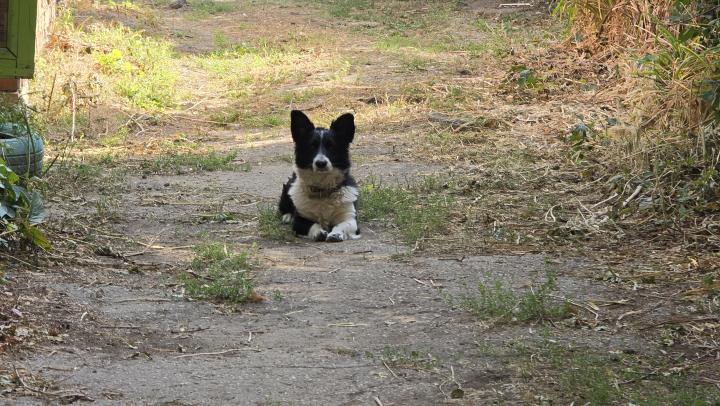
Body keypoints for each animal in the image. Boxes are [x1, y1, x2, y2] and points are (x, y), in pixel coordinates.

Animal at [280, 109, 362, 243]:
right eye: (311, 146)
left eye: (331, 146)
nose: (321, 163)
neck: (322, 191)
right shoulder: (300, 221)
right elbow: (312, 225)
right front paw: (319, 232)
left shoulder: (351, 219)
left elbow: (342, 225)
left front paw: (336, 234)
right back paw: (287, 216)